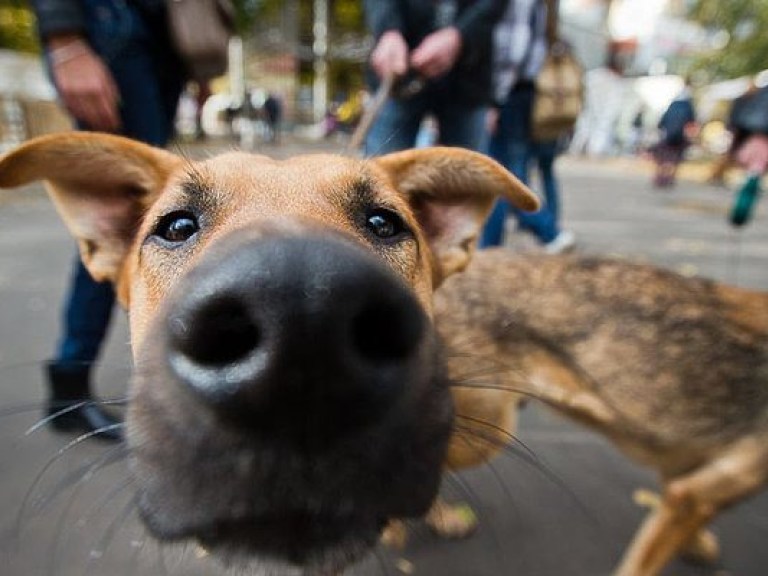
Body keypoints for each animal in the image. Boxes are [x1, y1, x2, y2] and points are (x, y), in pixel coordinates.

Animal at [436, 252, 764, 576]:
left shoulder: (685, 475)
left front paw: (697, 546)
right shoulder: (694, 496)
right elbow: (642, 564)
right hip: (484, 436)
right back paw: (443, 518)